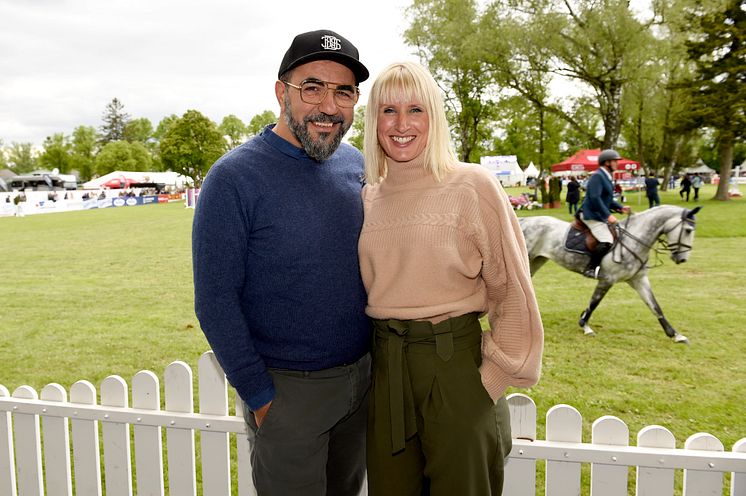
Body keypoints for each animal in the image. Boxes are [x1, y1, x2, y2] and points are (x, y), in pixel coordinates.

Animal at [516, 204, 696, 340]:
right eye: (688, 230)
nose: (682, 259)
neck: (634, 239)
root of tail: (524, 220)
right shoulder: (607, 279)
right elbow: (594, 303)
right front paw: (585, 326)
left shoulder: (639, 280)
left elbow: (655, 306)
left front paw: (675, 334)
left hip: (537, 260)